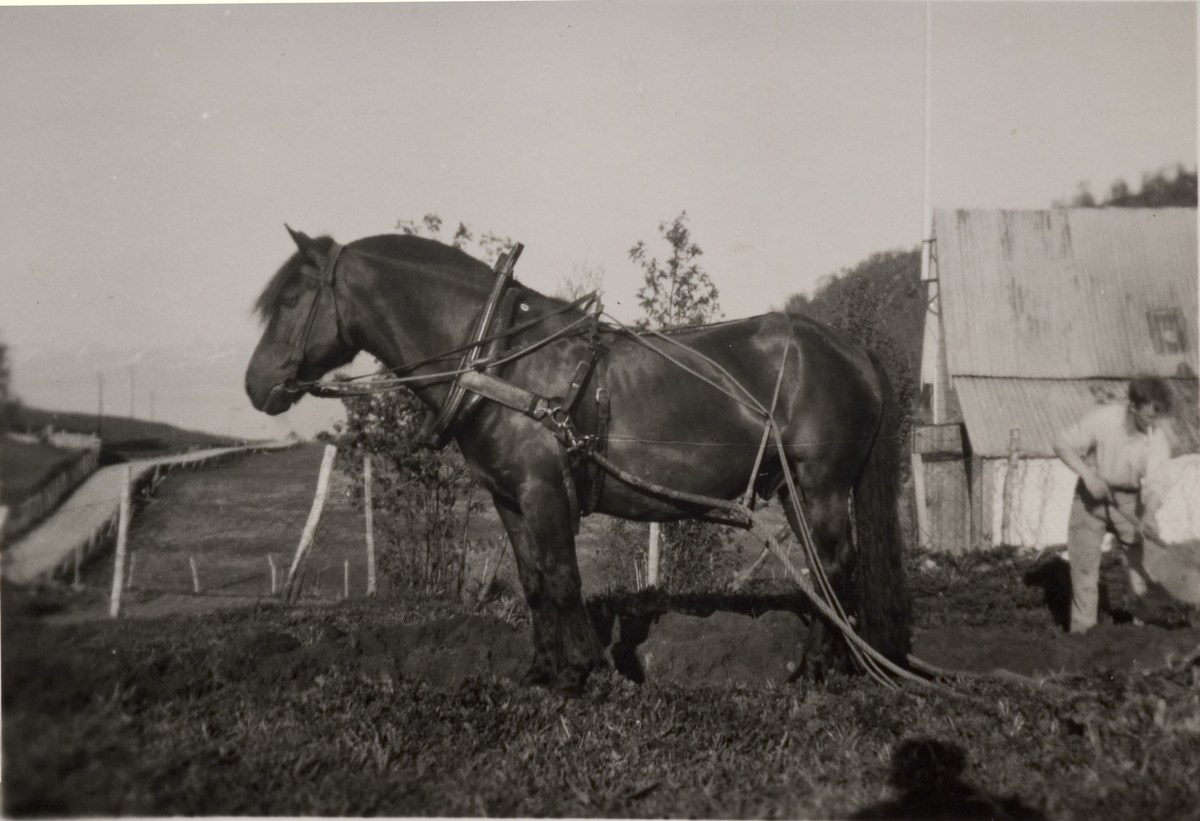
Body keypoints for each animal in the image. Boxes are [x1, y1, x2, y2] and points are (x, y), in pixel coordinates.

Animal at [246, 229, 907, 691]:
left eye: (292, 298)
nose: (256, 386)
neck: (500, 363)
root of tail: (854, 349)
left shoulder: (544, 489)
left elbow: (564, 578)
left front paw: (579, 672)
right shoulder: (509, 497)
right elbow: (536, 582)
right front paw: (540, 673)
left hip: (820, 486)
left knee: (835, 567)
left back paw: (815, 669)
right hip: (795, 490)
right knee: (824, 573)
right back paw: (836, 661)